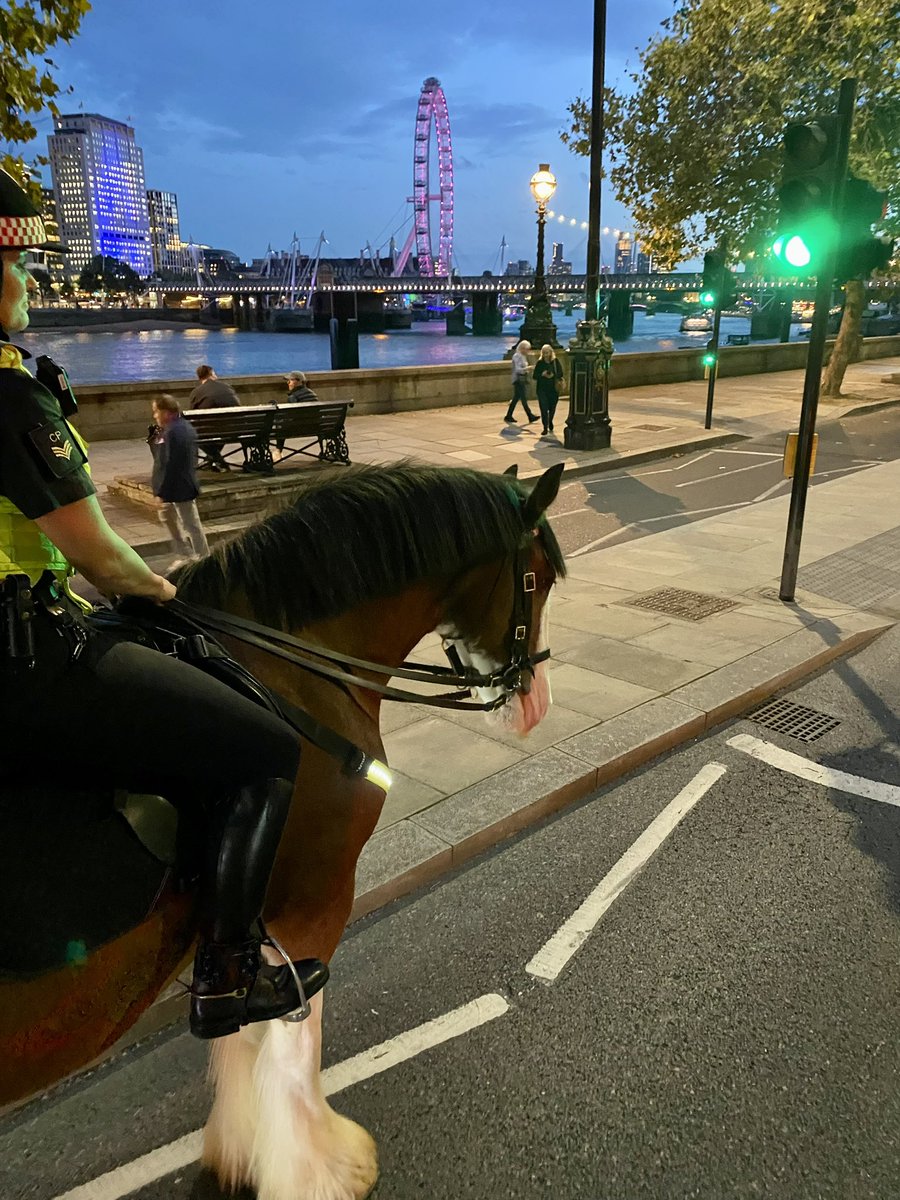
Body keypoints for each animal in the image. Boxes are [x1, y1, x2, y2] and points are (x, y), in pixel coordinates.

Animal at [0, 459, 565, 1199]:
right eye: (540, 578)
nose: (534, 701)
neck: (287, 665)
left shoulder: (246, 914)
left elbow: (243, 1037)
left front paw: (244, 1148)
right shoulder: (315, 897)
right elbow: (294, 1039)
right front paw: (318, 1167)